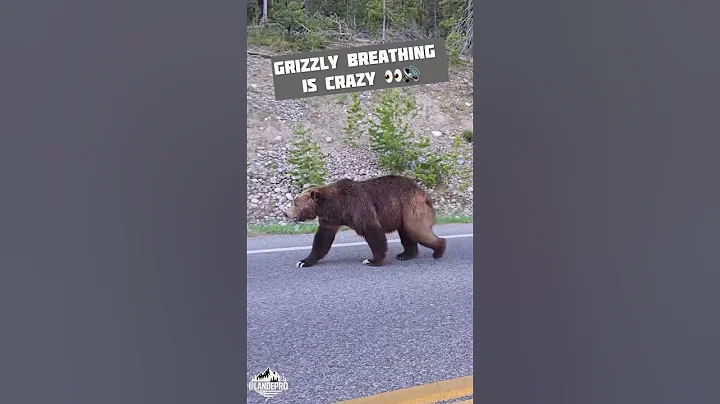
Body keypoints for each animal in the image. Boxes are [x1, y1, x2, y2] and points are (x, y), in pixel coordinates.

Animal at [284, 175, 447, 267]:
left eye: (295, 203)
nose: (286, 213)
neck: (336, 206)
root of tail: (423, 192)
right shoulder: (330, 220)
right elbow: (322, 239)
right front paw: (304, 261)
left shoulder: (358, 207)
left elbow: (372, 231)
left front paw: (372, 261)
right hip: (402, 214)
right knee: (407, 233)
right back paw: (405, 254)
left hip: (410, 207)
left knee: (417, 230)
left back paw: (439, 250)